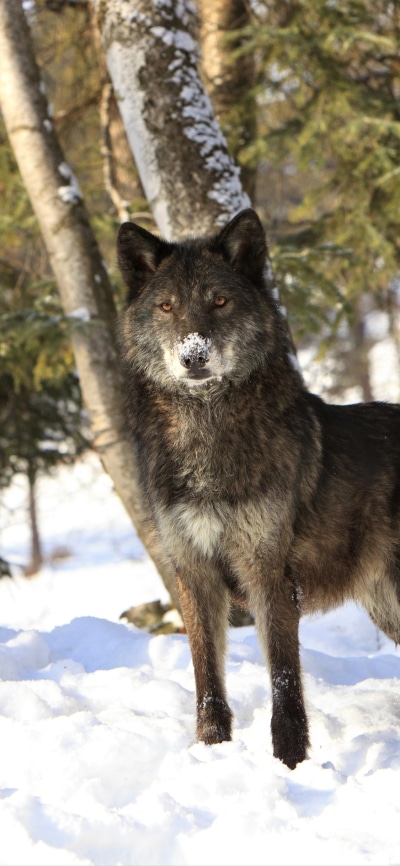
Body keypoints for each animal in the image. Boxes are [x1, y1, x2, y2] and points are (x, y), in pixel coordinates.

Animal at [117, 208, 400, 769]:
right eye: (166, 306)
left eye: (219, 301)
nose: (194, 355)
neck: (207, 433)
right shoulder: (194, 574)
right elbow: (207, 680)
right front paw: (211, 753)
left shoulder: (268, 573)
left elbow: (285, 683)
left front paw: (290, 766)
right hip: (385, 603)